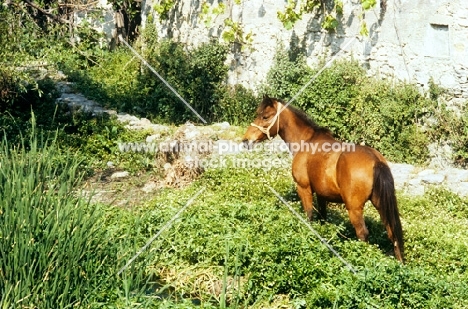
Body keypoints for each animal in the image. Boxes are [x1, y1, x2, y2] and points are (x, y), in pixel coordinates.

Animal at [243, 95, 404, 262]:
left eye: (265, 116)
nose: (246, 140)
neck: (307, 142)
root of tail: (376, 160)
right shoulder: (322, 195)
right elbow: (322, 218)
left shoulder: (304, 188)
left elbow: (309, 216)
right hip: (380, 205)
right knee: (393, 234)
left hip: (354, 208)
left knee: (362, 233)